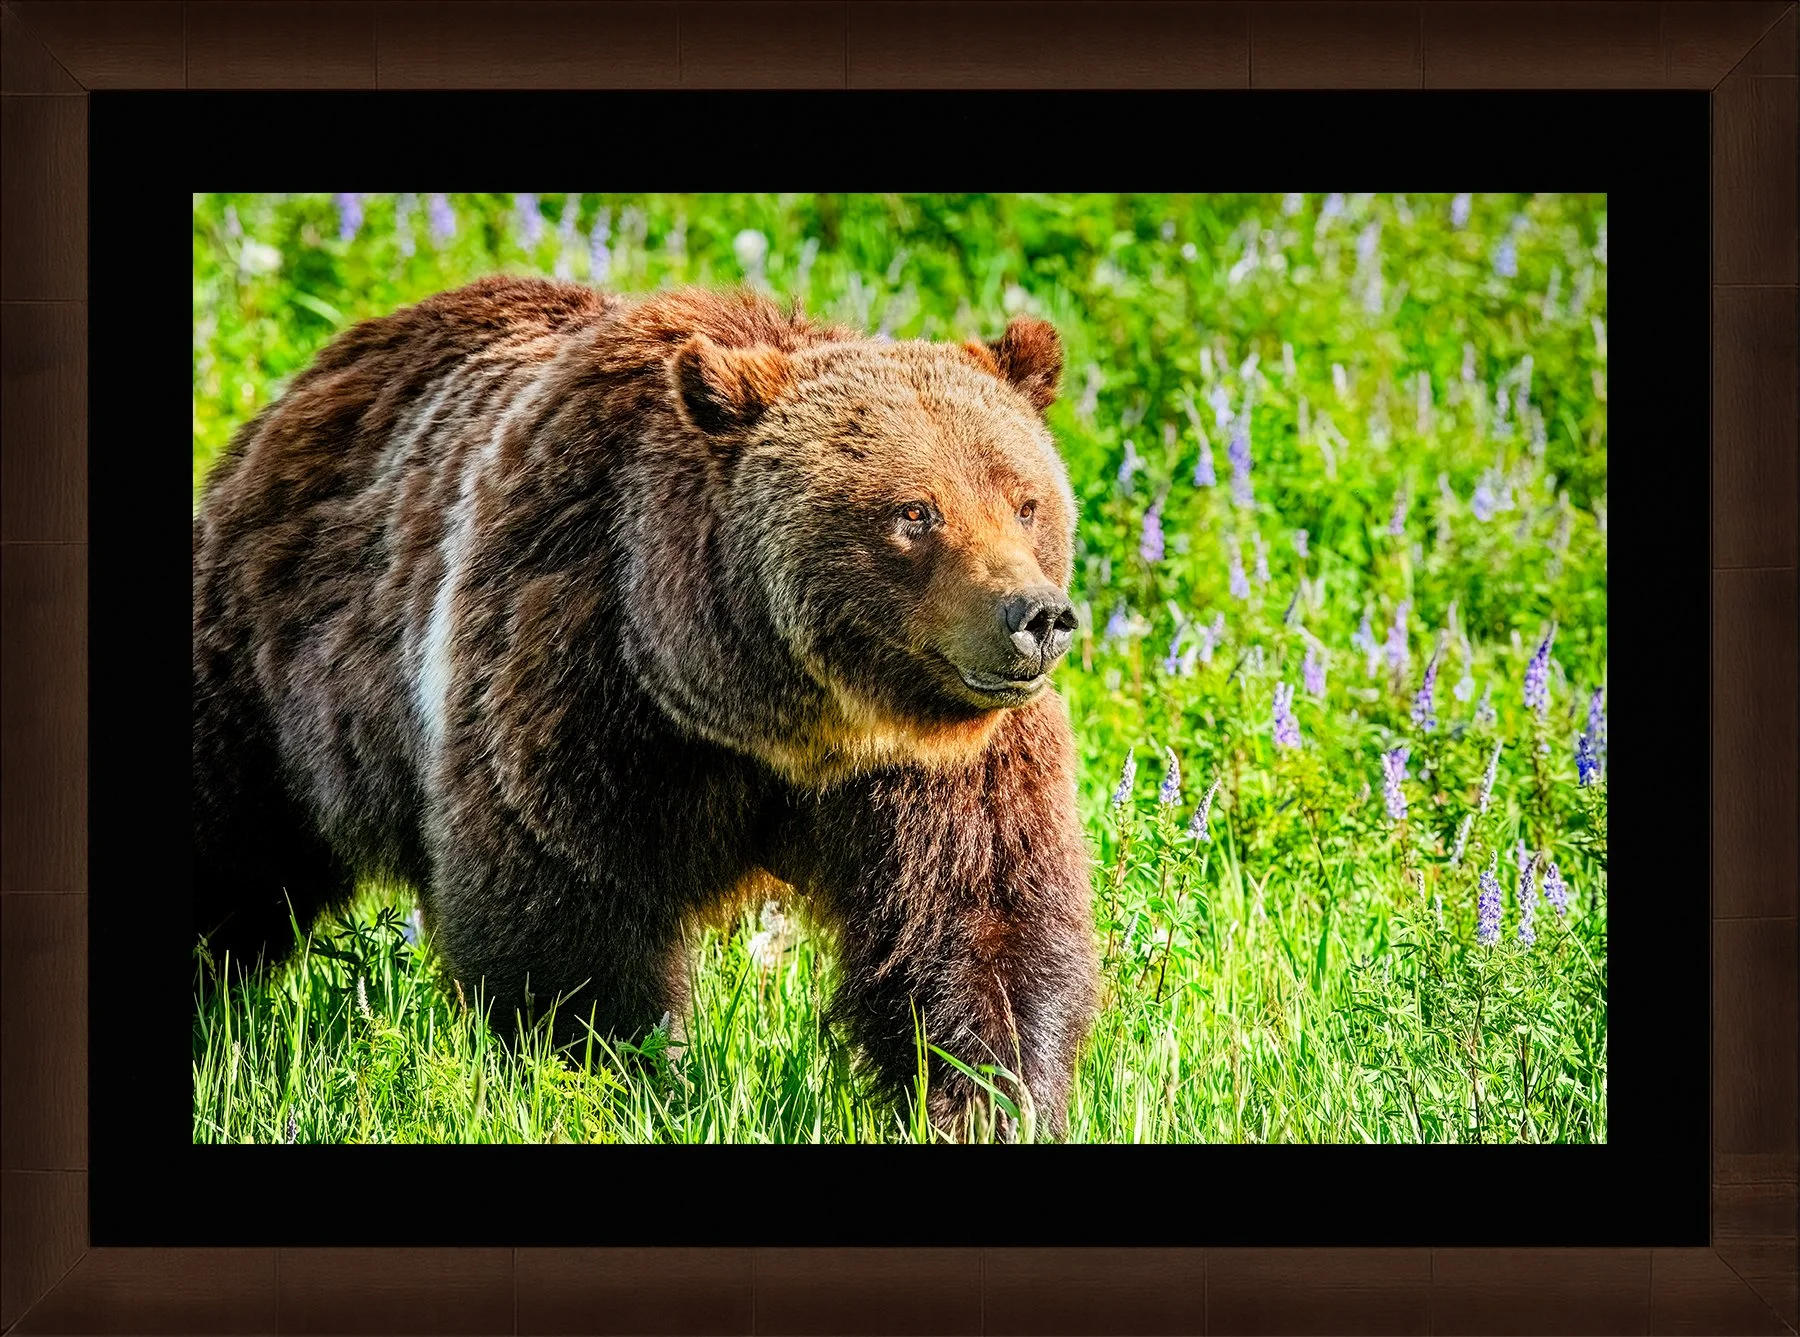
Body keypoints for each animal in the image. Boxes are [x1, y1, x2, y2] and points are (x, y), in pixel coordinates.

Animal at [192, 275, 1100, 1140]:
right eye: (915, 511)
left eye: (1025, 500)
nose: (1036, 616)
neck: (776, 715)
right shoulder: (585, 684)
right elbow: (569, 922)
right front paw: (616, 1080)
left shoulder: (941, 765)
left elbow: (979, 926)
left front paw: (990, 1101)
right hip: (274, 669)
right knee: (229, 841)